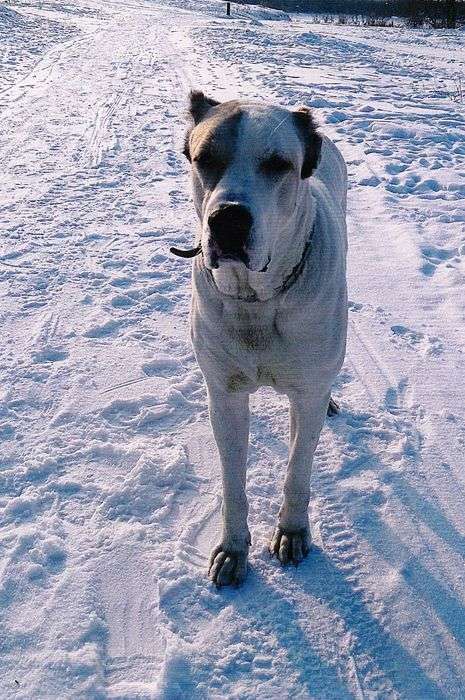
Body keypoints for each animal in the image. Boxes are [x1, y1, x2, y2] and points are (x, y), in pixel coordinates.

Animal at [175, 91, 348, 584]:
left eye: (277, 164)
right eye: (205, 158)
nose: (228, 221)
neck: (258, 300)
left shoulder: (306, 395)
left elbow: (297, 472)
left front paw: (292, 532)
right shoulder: (225, 396)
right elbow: (233, 481)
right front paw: (233, 550)